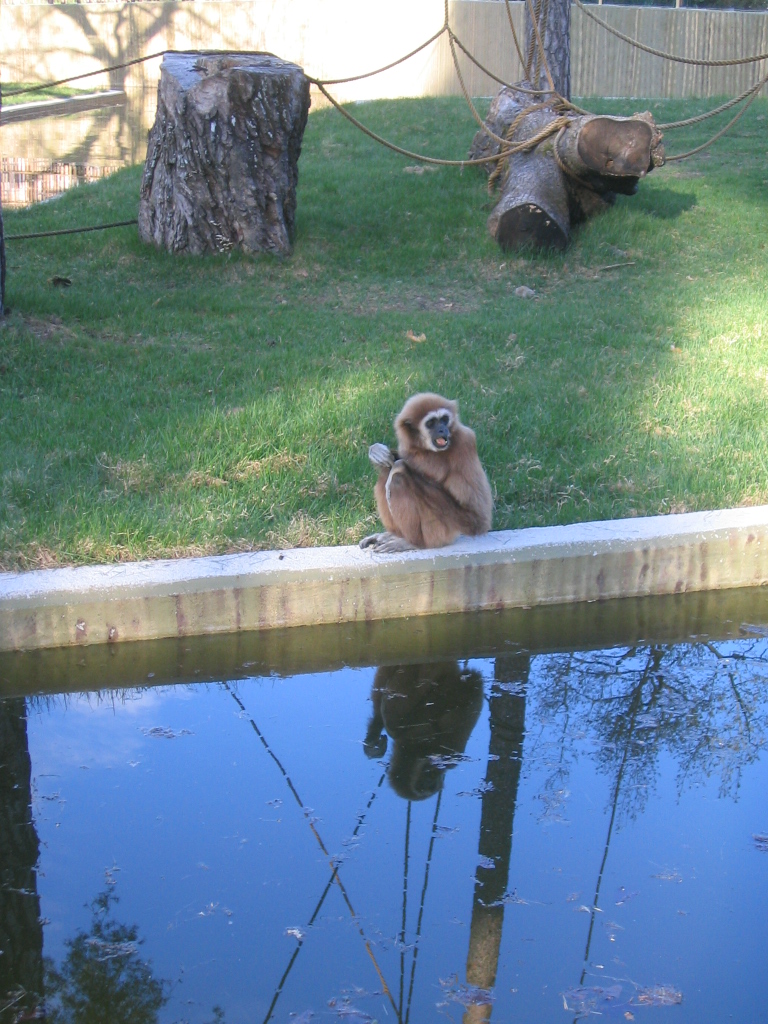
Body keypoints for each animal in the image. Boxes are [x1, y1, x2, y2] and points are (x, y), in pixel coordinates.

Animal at [359, 393, 493, 553]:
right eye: (431, 423)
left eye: (444, 419)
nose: (442, 429)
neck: (427, 450)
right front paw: (377, 451)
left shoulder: (465, 442)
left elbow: (477, 518)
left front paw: (400, 465)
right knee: (385, 473)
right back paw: (394, 534)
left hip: (438, 532)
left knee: (397, 479)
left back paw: (413, 543)